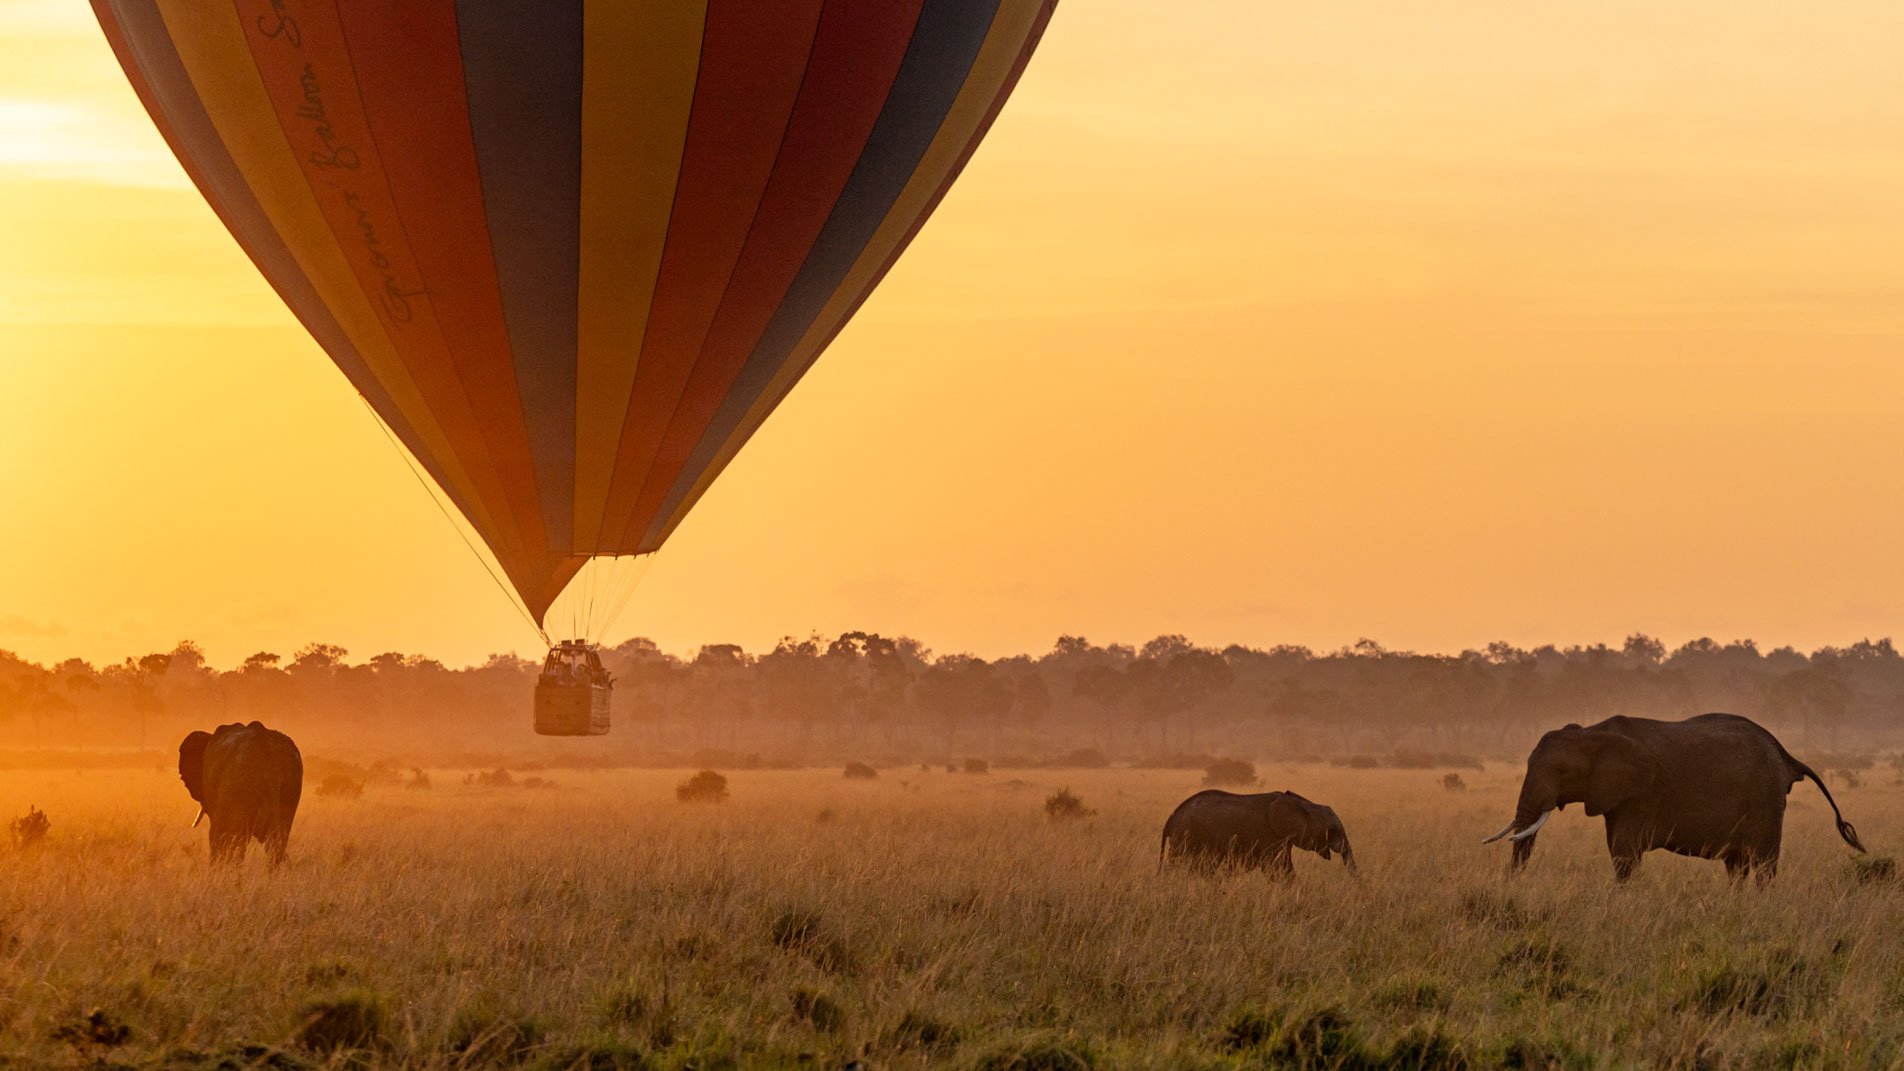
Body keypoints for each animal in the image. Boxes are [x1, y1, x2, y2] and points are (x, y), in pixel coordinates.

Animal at [1157, 785, 1355, 876]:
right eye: (1332, 830)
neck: (1301, 803)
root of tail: (1171, 818)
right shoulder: (1271, 836)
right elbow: (1277, 870)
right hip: (1187, 837)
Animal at [1477, 712, 1865, 880]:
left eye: (1560, 771)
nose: (1513, 886)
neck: (1590, 732)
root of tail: (1787, 757)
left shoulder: (1640, 795)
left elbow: (1624, 854)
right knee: (1737, 865)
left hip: (1766, 801)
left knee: (1764, 863)